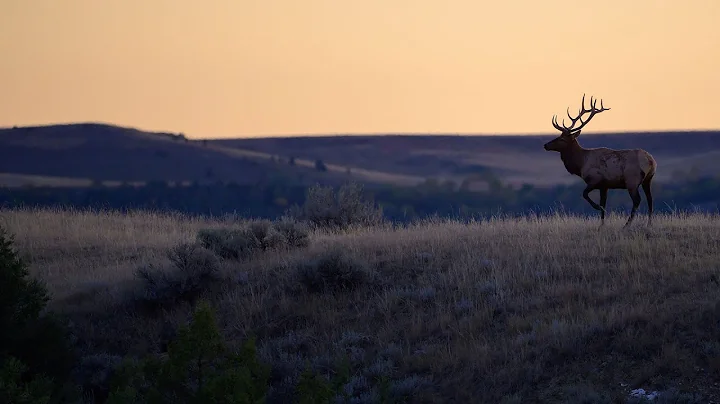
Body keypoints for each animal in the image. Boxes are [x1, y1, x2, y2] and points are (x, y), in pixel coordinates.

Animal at [543, 94, 657, 228]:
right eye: (558, 136)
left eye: (562, 139)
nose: (546, 145)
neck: (581, 163)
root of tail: (650, 161)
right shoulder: (604, 186)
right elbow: (603, 204)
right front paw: (601, 225)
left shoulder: (595, 180)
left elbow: (585, 194)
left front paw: (597, 208)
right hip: (648, 179)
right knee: (650, 199)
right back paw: (649, 224)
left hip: (632, 180)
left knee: (637, 200)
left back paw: (626, 225)